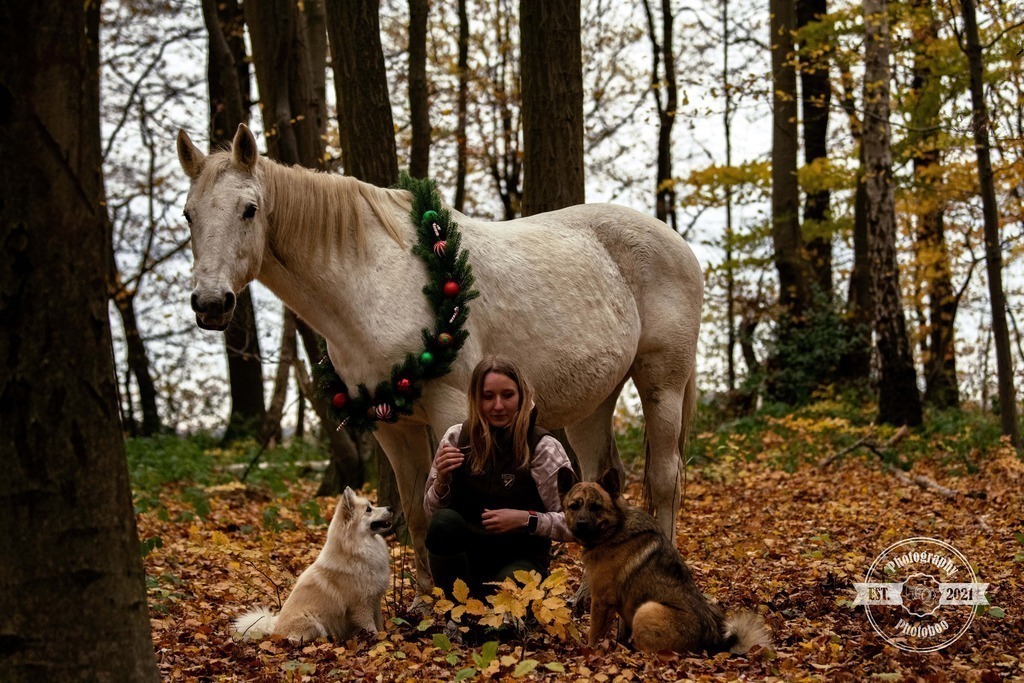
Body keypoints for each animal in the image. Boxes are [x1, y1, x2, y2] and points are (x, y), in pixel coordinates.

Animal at [176, 124, 703, 589]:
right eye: (187, 215)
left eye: (249, 210)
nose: (210, 303)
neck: (372, 280)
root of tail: (675, 241)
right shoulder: (390, 423)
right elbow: (414, 509)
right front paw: (426, 604)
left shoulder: (451, 410)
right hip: (592, 402)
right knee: (595, 481)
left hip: (663, 384)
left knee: (664, 479)